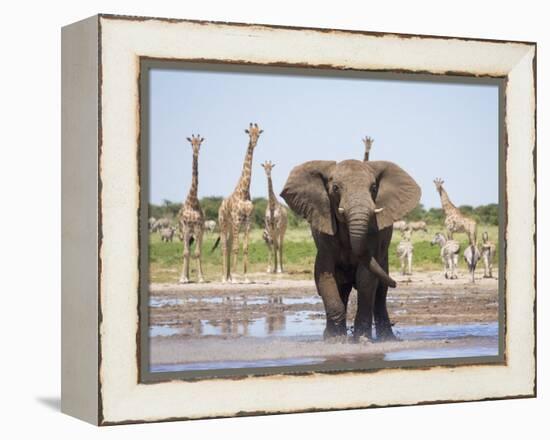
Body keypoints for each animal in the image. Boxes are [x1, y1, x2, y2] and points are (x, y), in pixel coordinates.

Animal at [217, 124, 264, 282]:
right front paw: (235, 277)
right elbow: (236, 248)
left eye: (258, 134)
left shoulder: (248, 220)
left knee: (229, 244)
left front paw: (246, 277)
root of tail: (220, 207)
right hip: (223, 224)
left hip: (231, 227)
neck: (243, 191)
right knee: (224, 246)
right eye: (249, 134)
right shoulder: (237, 219)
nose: (254, 143)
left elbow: (245, 248)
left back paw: (228, 276)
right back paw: (224, 277)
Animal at [282, 158, 420, 340]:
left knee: (380, 293)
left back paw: (387, 339)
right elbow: (325, 274)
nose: (397, 283)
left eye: (373, 188)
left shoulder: (373, 233)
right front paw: (335, 340)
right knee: (343, 288)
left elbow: (366, 277)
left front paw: (362, 340)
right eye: (335, 188)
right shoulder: (324, 233)